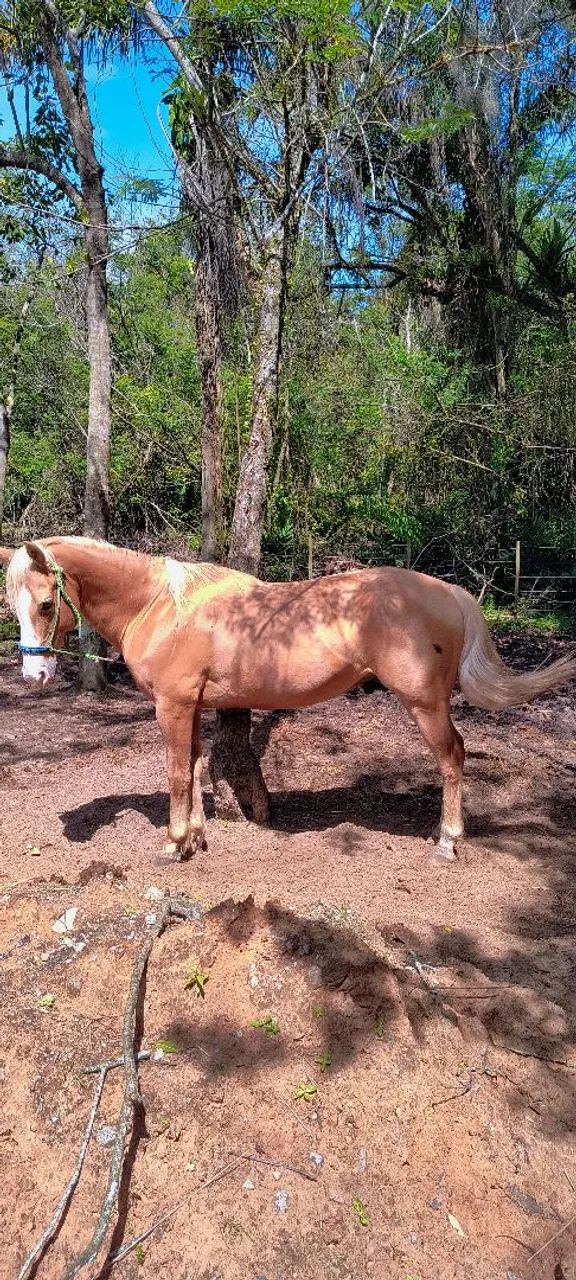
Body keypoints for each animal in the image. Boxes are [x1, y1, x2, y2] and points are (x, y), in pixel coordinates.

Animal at [1, 536, 575, 862]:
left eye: (47, 603)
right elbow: (195, 766)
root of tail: (449, 592)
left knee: (453, 757)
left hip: (425, 704)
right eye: (12, 604)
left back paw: (448, 840)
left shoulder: (173, 706)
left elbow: (175, 773)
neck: (160, 605)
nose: (35, 674)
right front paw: (195, 839)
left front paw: (171, 843)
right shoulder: (194, 706)